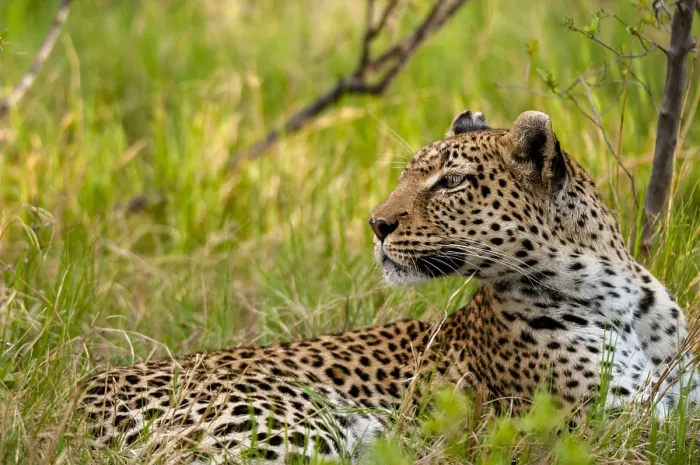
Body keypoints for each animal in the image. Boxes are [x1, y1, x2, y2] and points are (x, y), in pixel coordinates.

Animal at [79, 110, 699, 464]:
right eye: (407, 175)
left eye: (451, 182)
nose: (376, 224)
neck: (624, 300)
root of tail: (77, 403)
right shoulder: (609, 428)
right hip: (292, 423)